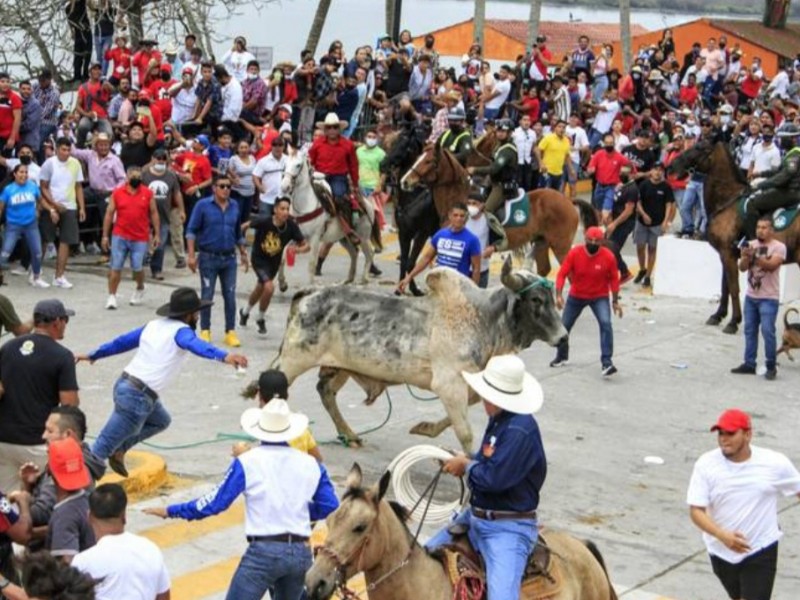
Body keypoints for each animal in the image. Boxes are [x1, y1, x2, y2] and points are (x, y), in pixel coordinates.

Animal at [268, 258, 564, 450]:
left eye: (552, 298)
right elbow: (465, 433)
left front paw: (426, 428)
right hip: (293, 360)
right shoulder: (449, 384)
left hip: (339, 367)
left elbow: (467, 409)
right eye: (536, 299)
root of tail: (310, 292)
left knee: (325, 391)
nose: (562, 336)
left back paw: (350, 435)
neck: (484, 319)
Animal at [278, 151, 378, 290]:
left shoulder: (314, 238)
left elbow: (311, 263)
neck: (305, 205)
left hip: (363, 236)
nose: (285, 186)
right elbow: (282, 258)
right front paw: (282, 283)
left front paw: (310, 287)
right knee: (354, 252)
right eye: (285, 164)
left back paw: (364, 279)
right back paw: (349, 279)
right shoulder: (295, 236)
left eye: (298, 165)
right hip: (344, 237)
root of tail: (367, 203)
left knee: (369, 253)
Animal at [400, 144, 600, 278]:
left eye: (429, 161)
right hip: (542, 242)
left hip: (561, 246)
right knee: (544, 270)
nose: (404, 181)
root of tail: (567, 200)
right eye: (418, 157)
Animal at [668, 143, 800, 336]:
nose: (670, 166)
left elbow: (734, 288)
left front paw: (733, 322)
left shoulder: (727, 254)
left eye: (699, 147)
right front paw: (718, 315)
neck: (727, 201)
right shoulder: (726, 254)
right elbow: (725, 287)